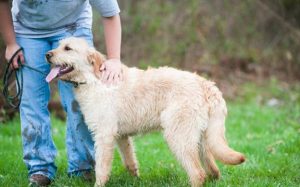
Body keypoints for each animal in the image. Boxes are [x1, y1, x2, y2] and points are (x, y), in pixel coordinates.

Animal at [45, 37, 246, 186]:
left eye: (68, 48)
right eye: (58, 45)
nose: (47, 54)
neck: (92, 79)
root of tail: (206, 84)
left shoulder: (104, 136)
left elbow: (101, 168)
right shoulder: (121, 136)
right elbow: (130, 162)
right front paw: (135, 179)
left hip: (178, 137)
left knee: (198, 174)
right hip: (201, 138)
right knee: (213, 170)